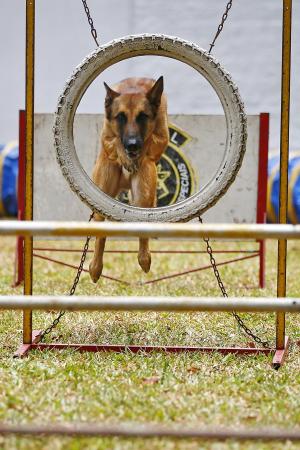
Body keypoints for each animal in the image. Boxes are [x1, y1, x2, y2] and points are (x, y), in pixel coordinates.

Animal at [88, 76, 169, 282]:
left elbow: (149, 141)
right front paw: (124, 155)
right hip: (103, 195)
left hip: (143, 191)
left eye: (143, 116)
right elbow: (115, 140)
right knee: (100, 234)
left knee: (143, 226)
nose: (132, 145)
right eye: (121, 117)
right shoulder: (107, 136)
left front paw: (135, 155)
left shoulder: (161, 138)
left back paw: (144, 258)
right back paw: (95, 267)